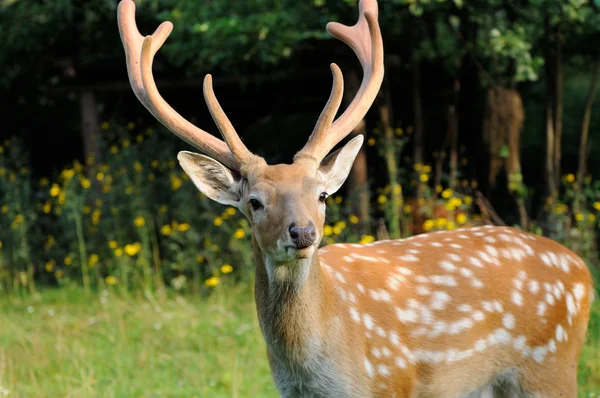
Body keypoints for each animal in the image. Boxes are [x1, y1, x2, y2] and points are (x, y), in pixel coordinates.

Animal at [118, 1, 596, 396]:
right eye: (253, 202)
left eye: (323, 194)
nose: (302, 232)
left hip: (551, 366)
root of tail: (583, 271)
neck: (315, 373)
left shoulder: (390, 382)